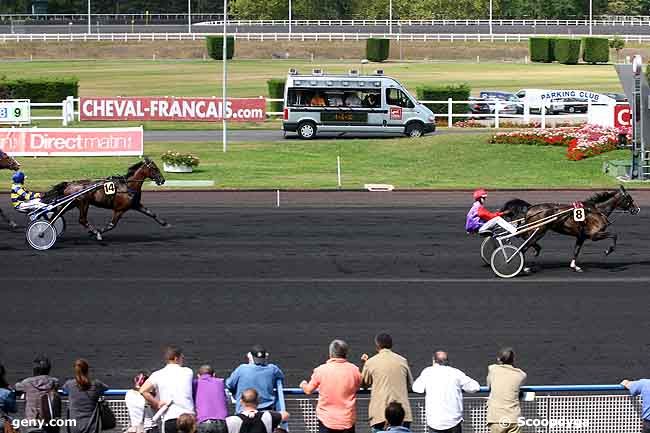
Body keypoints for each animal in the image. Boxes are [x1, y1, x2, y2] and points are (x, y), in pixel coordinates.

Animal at [502, 186, 636, 274]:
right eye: (629, 198)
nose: (636, 209)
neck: (596, 210)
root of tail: (530, 208)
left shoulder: (581, 236)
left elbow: (576, 250)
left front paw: (575, 266)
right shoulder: (594, 235)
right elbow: (614, 235)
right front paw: (608, 250)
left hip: (535, 230)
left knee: (525, 239)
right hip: (539, 231)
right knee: (524, 246)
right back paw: (522, 266)